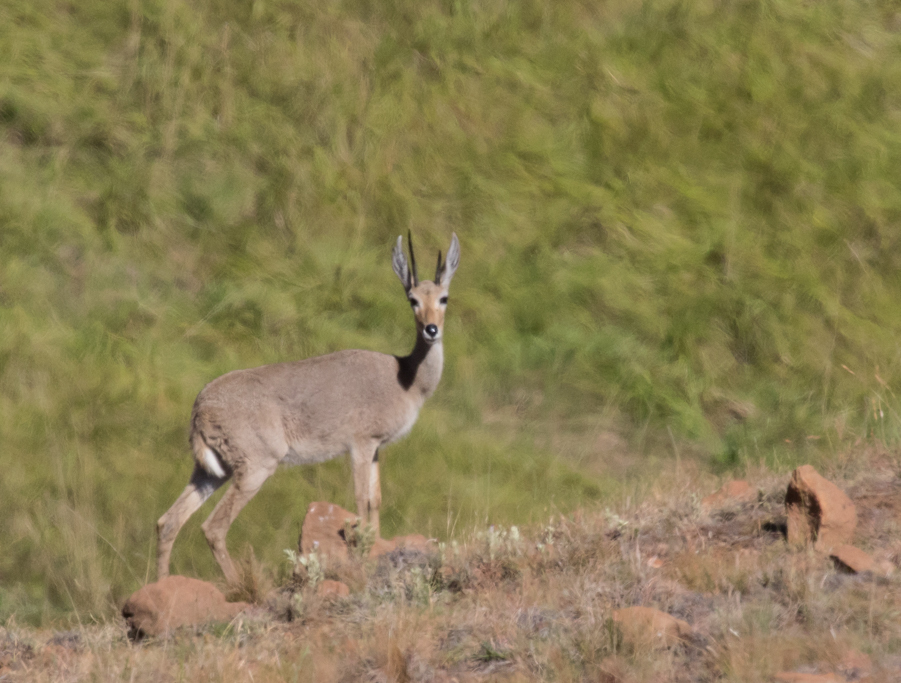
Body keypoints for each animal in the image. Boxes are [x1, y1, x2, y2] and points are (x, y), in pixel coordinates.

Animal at [155, 234, 460, 584]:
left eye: (444, 298)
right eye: (412, 300)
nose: (431, 330)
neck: (406, 377)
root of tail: (200, 406)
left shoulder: (377, 449)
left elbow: (376, 499)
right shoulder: (361, 444)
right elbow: (362, 499)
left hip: (209, 472)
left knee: (168, 522)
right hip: (255, 468)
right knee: (213, 527)